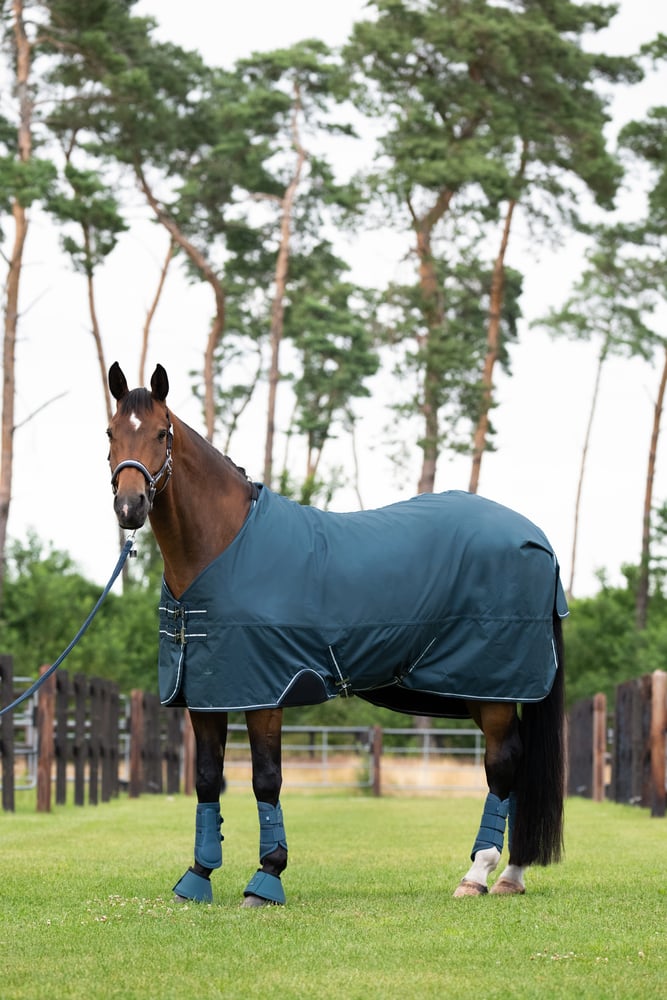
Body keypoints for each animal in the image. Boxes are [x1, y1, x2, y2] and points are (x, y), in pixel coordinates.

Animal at [106, 362, 567, 905]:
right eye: (111, 432)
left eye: (162, 432)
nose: (130, 506)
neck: (222, 547)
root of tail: (537, 538)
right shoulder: (205, 695)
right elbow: (206, 781)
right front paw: (198, 877)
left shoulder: (267, 692)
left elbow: (266, 781)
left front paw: (267, 877)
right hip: (480, 690)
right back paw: (510, 875)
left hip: (492, 689)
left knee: (504, 765)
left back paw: (478, 873)